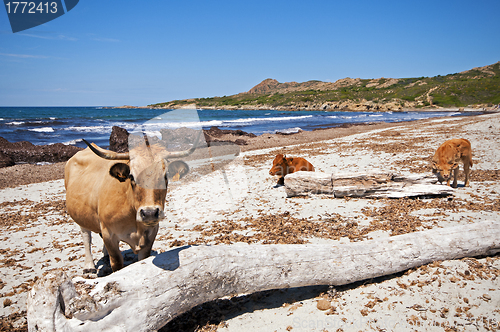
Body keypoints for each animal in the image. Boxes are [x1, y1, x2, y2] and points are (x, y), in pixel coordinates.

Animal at [65, 134, 199, 274]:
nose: (149, 213)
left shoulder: (150, 235)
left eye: (165, 176)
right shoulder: (109, 235)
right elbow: (117, 263)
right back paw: (89, 266)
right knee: (86, 236)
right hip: (80, 215)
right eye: (131, 177)